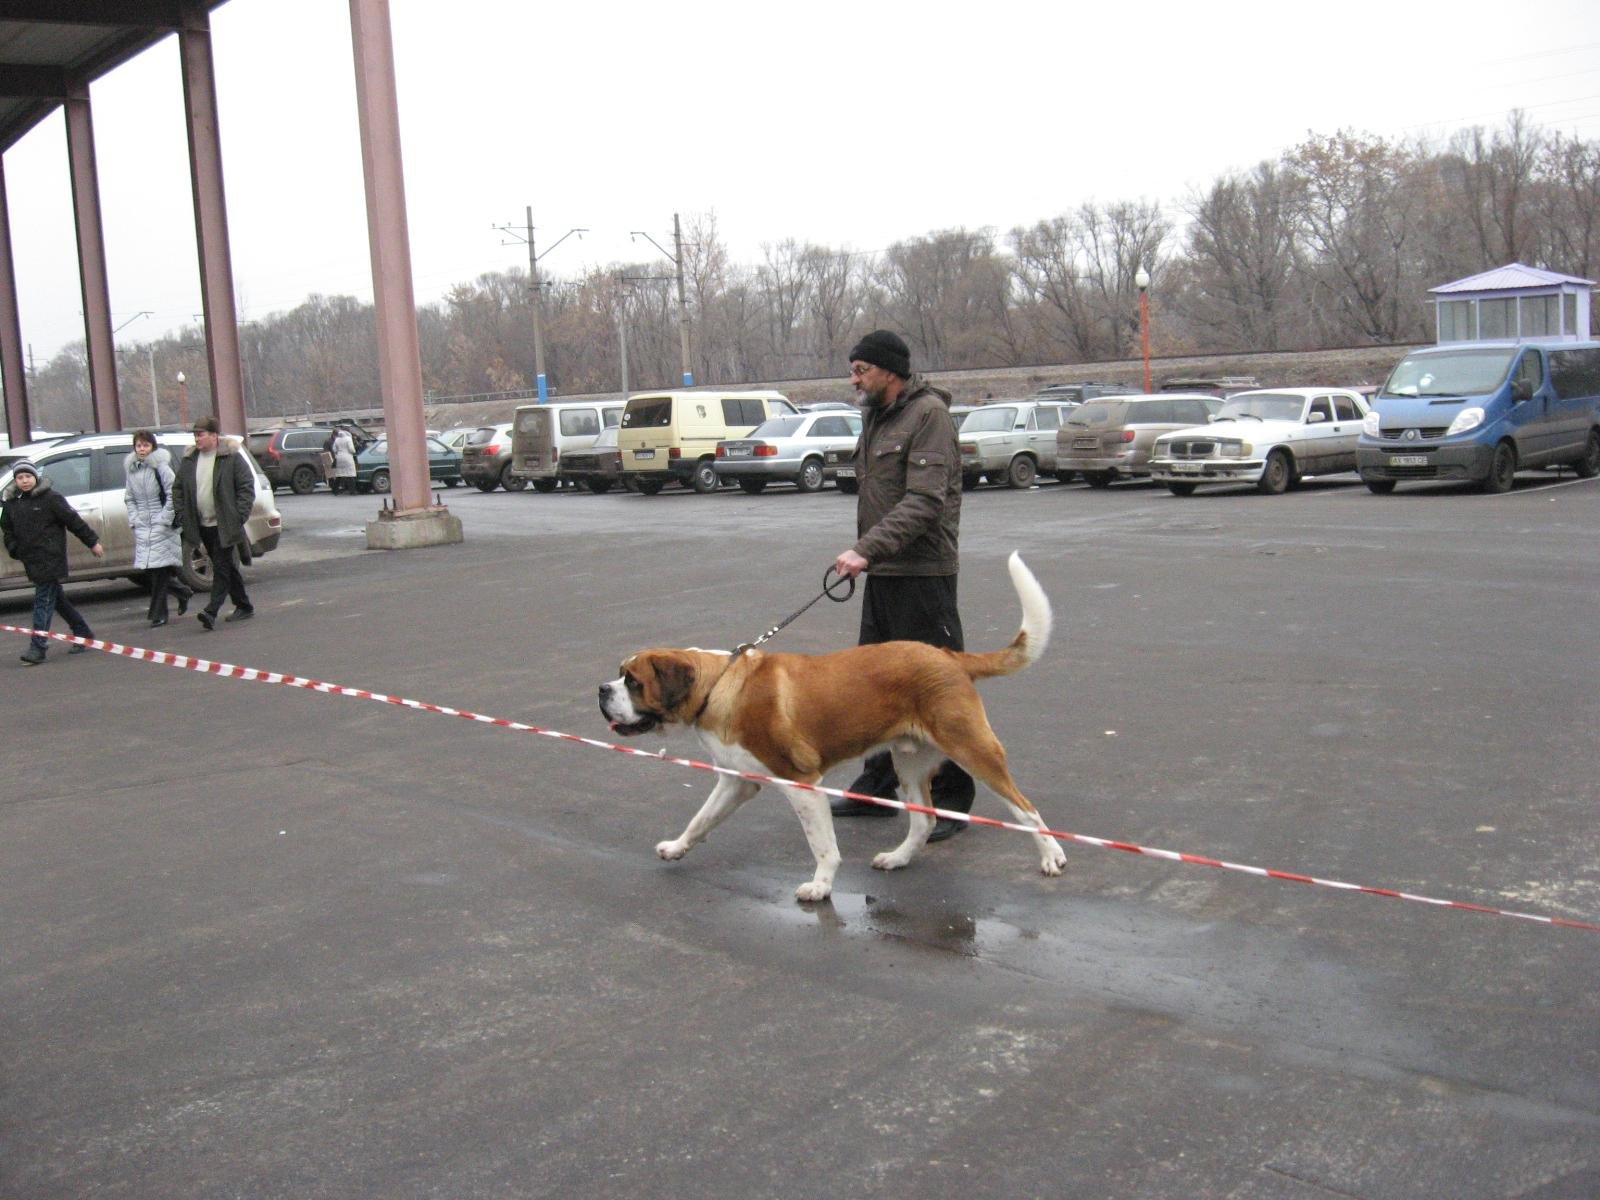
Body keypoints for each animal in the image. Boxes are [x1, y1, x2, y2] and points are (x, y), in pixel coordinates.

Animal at [595, 553, 1068, 902]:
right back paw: (897, 858)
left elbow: (822, 844)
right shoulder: (736, 781)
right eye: (621, 676)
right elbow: (700, 819)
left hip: (972, 747)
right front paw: (677, 848)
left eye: (633, 682)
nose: (602, 690)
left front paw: (820, 886)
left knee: (1025, 809)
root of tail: (948, 656)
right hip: (909, 761)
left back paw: (1052, 856)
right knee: (924, 820)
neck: (719, 684)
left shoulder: (803, 783)